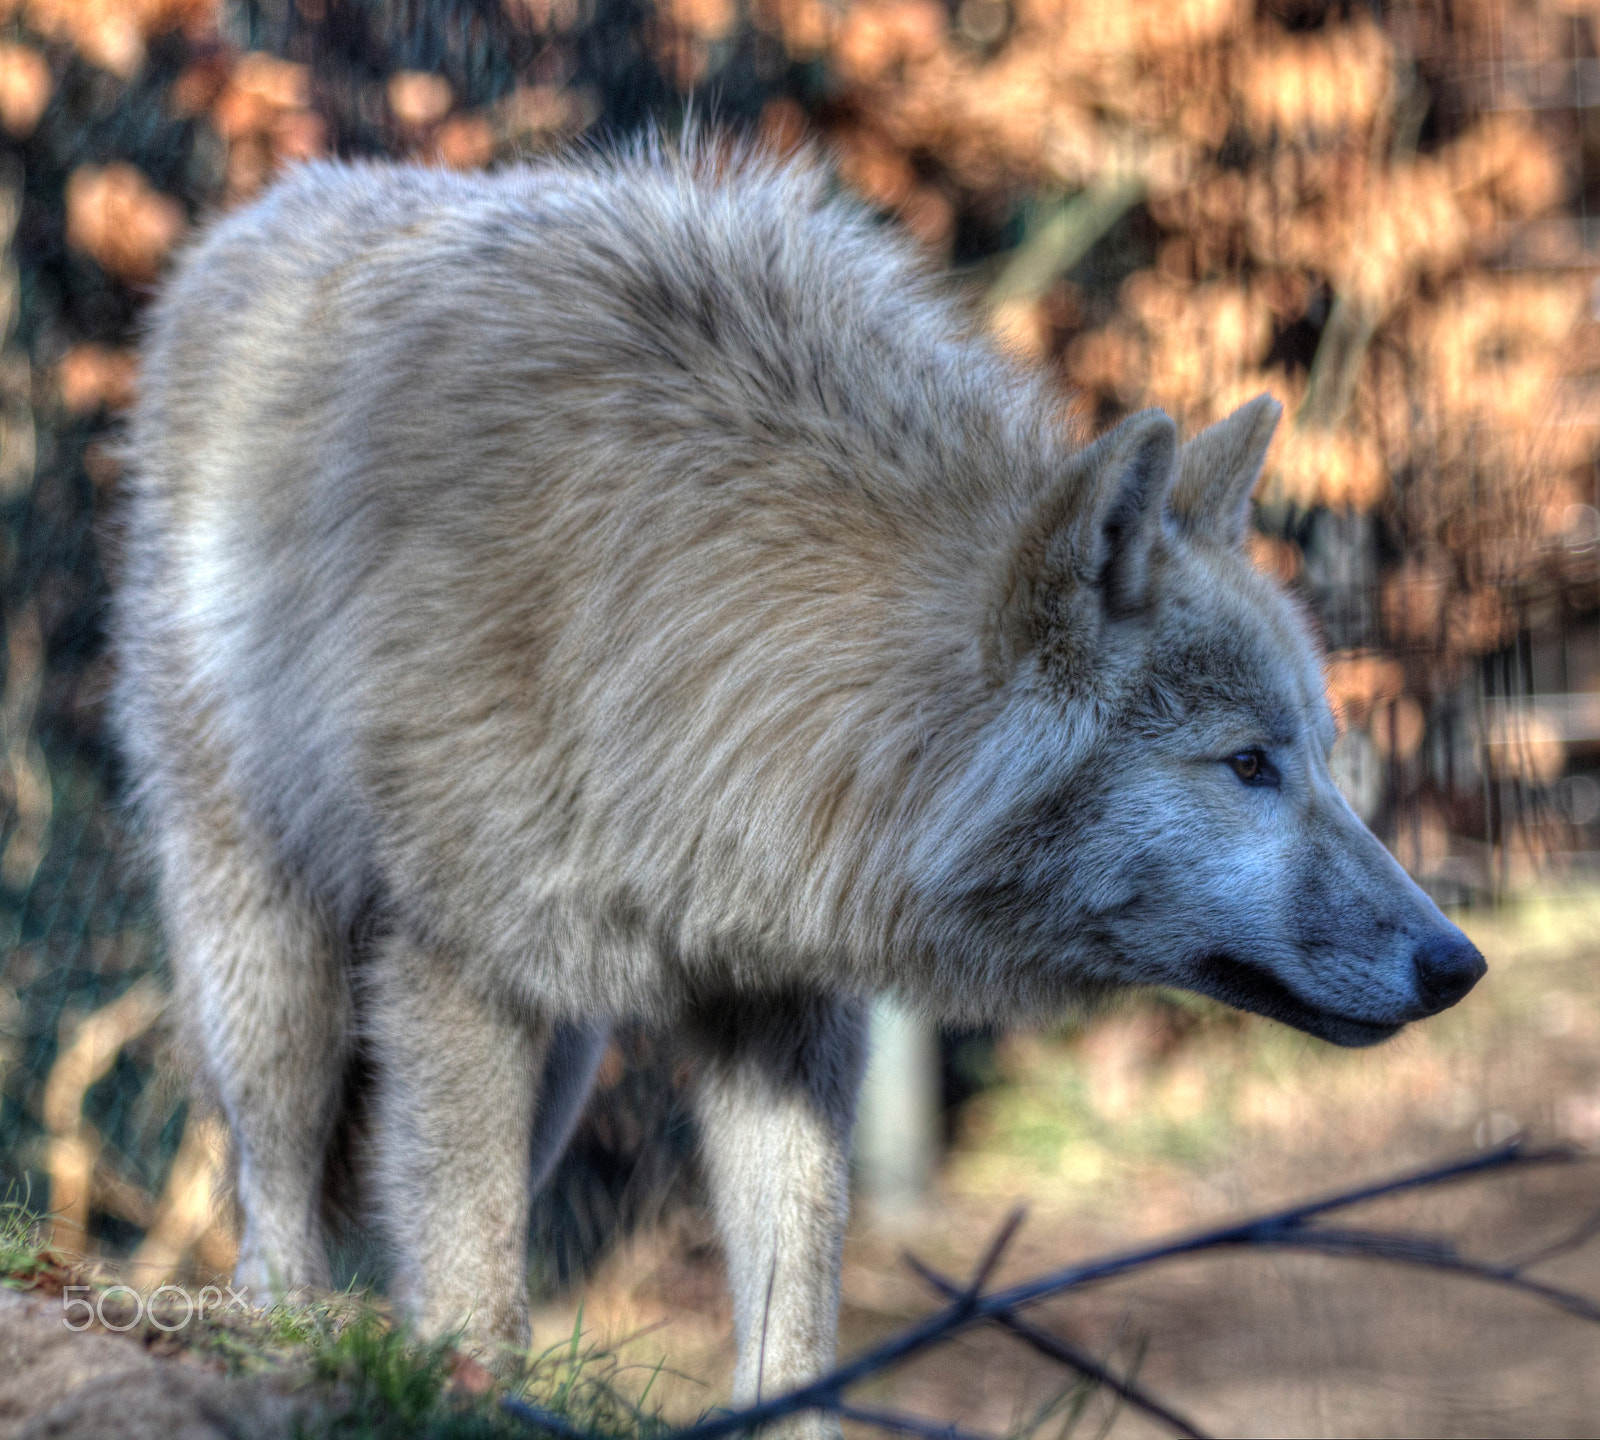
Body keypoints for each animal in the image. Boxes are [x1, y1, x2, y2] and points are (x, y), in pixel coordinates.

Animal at [111, 142, 1484, 1424]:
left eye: (1317, 756)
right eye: (1246, 764)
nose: (1458, 963)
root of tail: (255, 214)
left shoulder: (780, 1009)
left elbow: (792, 1319)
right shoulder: (463, 970)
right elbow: (473, 1289)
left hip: (562, 1062)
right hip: (280, 963)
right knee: (278, 1198)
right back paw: (283, 1337)